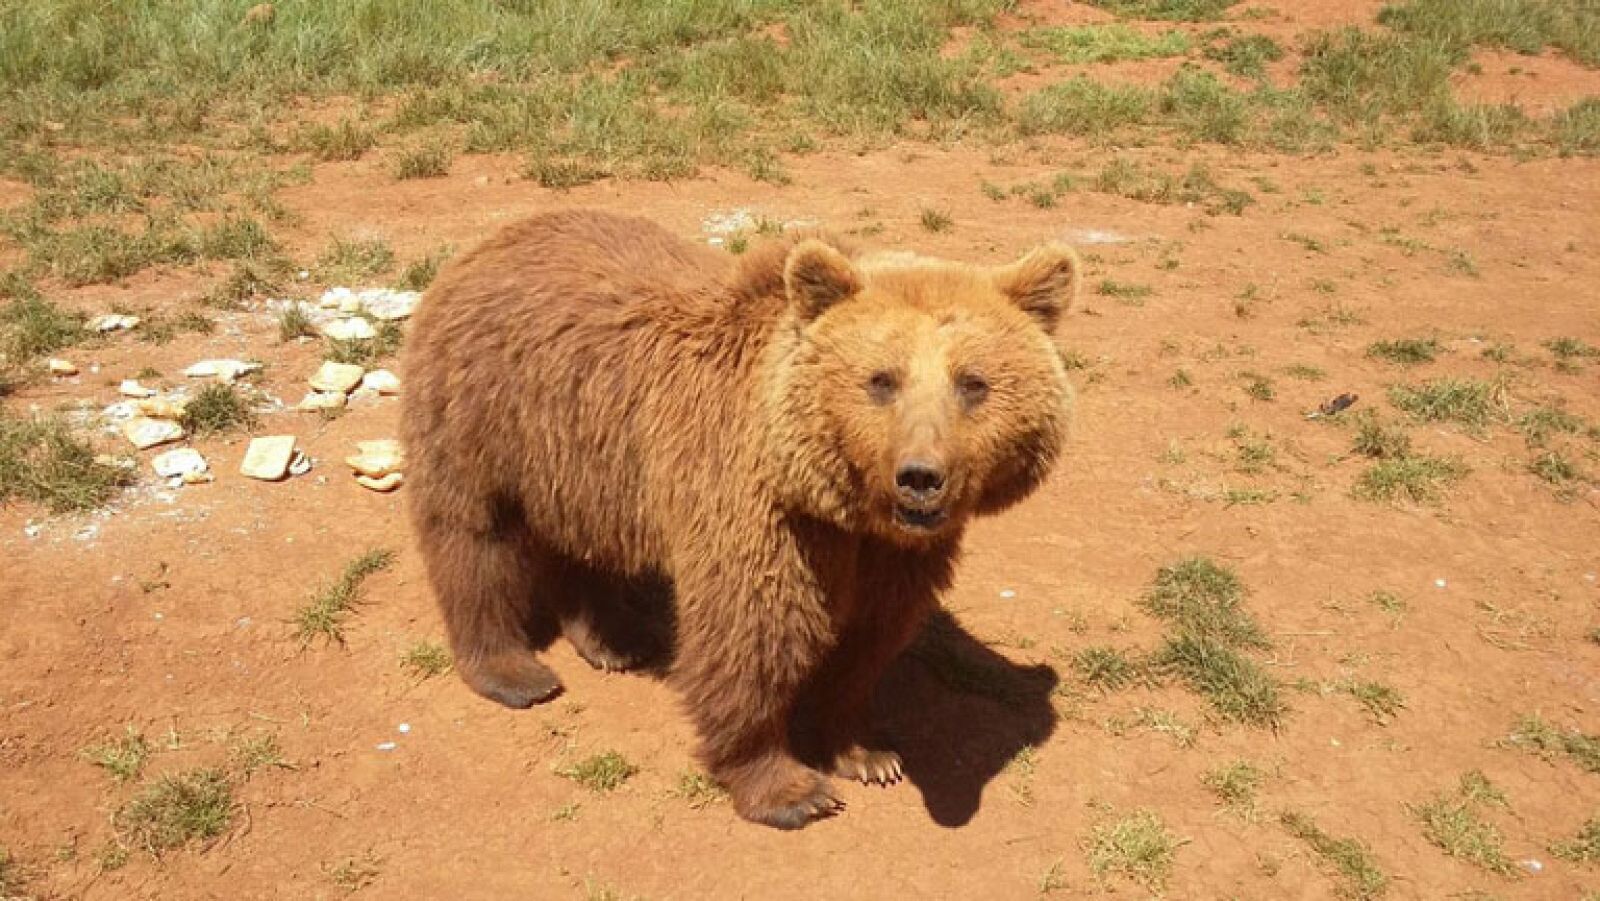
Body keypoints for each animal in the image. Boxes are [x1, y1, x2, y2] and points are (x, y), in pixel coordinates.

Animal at [401, 209, 1079, 829]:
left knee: (580, 541)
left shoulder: (889, 554)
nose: (919, 475)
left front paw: (865, 752)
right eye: (881, 380)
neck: (835, 500)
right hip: (484, 408)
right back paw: (511, 669)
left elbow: (869, 637)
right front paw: (791, 790)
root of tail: (496, 237)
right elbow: (751, 636)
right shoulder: (755, 506)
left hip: (581, 460)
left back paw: (610, 639)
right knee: (473, 536)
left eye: (974, 383)